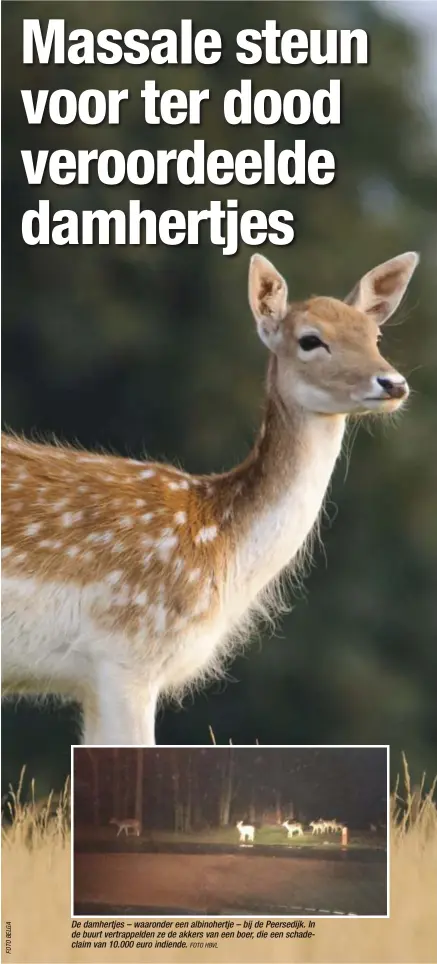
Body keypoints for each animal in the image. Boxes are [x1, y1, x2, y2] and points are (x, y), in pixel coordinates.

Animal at [1, 250, 418, 744]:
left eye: (374, 336)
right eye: (311, 340)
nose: (392, 383)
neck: (219, 543)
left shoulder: (96, 679)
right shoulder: (126, 653)